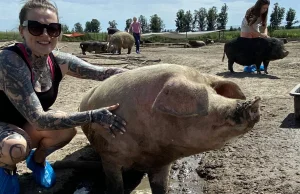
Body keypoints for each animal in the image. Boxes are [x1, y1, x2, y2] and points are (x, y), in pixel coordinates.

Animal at [78, 63, 262, 194]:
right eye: (206, 101)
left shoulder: (162, 162)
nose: (255, 102)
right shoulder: (109, 155)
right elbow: (115, 187)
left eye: (215, 93)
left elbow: (161, 188)